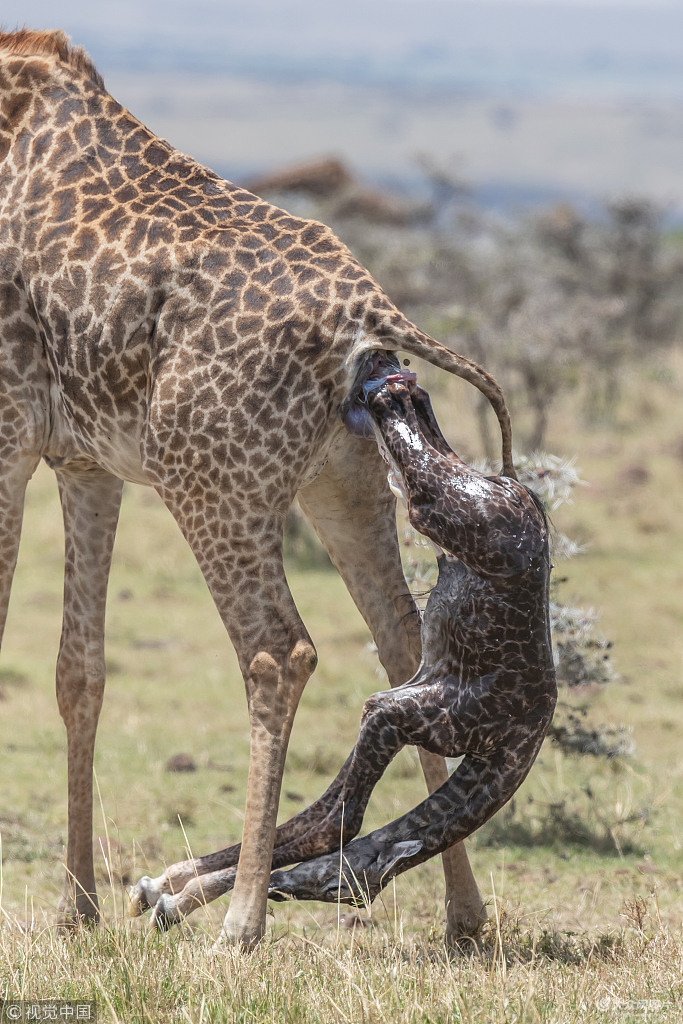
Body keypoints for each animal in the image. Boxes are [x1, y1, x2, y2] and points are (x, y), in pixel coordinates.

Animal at [0, 29, 511, 942]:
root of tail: (367, 315)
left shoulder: (10, 434)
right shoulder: (85, 462)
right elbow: (78, 673)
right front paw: (74, 912)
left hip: (210, 480)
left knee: (278, 653)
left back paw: (237, 922)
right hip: (343, 480)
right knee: (402, 643)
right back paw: (462, 914)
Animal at [131, 374, 557, 929]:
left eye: (346, 892)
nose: (290, 892)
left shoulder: (398, 714)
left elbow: (328, 824)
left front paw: (174, 898)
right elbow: (331, 830)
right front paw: (176, 895)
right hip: (437, 541)